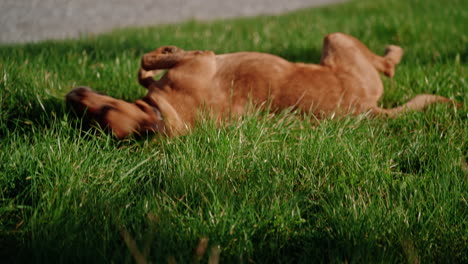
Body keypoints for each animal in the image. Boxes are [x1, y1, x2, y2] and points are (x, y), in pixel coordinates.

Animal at [66, 33, 454, 138]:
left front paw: (158, 60)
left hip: (337, 38)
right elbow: (148, 65)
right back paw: (393, 51)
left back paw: (393, 50)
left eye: (104, 109)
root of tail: (371, 110)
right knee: (387, 64)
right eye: (92, 121)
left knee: (388, 63)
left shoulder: (201, 57)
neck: (166, 112)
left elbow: (147, 63)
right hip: (338, 39)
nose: (70, 97)